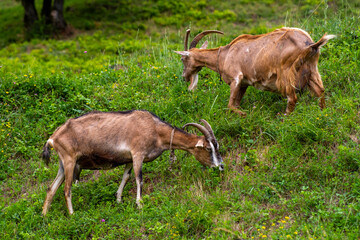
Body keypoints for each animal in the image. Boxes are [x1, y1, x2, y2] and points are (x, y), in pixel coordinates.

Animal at [40, 110, 224, 216]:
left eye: (217, 147)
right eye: (208, 148)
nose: (220, 167)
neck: (155, 129)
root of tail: (53, 138)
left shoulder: (128, 158)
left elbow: (126, 177)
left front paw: (119, 200)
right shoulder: (137, 154)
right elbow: (138, 179)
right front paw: (139, 204)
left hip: (63, 164)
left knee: (51, 189)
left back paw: (44, 216)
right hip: (70, 160)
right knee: (66, 189)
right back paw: (72, 215)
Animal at [176, 27, 336, 116]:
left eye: (183, 59)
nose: (184, 77)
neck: (224, 55)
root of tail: (309, 44)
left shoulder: (236, 78)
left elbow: (230, 105)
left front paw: (244, 115)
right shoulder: (244, 83)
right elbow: (235, 103)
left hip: (286, 72)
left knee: (292, 98)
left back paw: (284, 118)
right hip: (312, 69)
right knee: (320, 92)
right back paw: (323, 113)